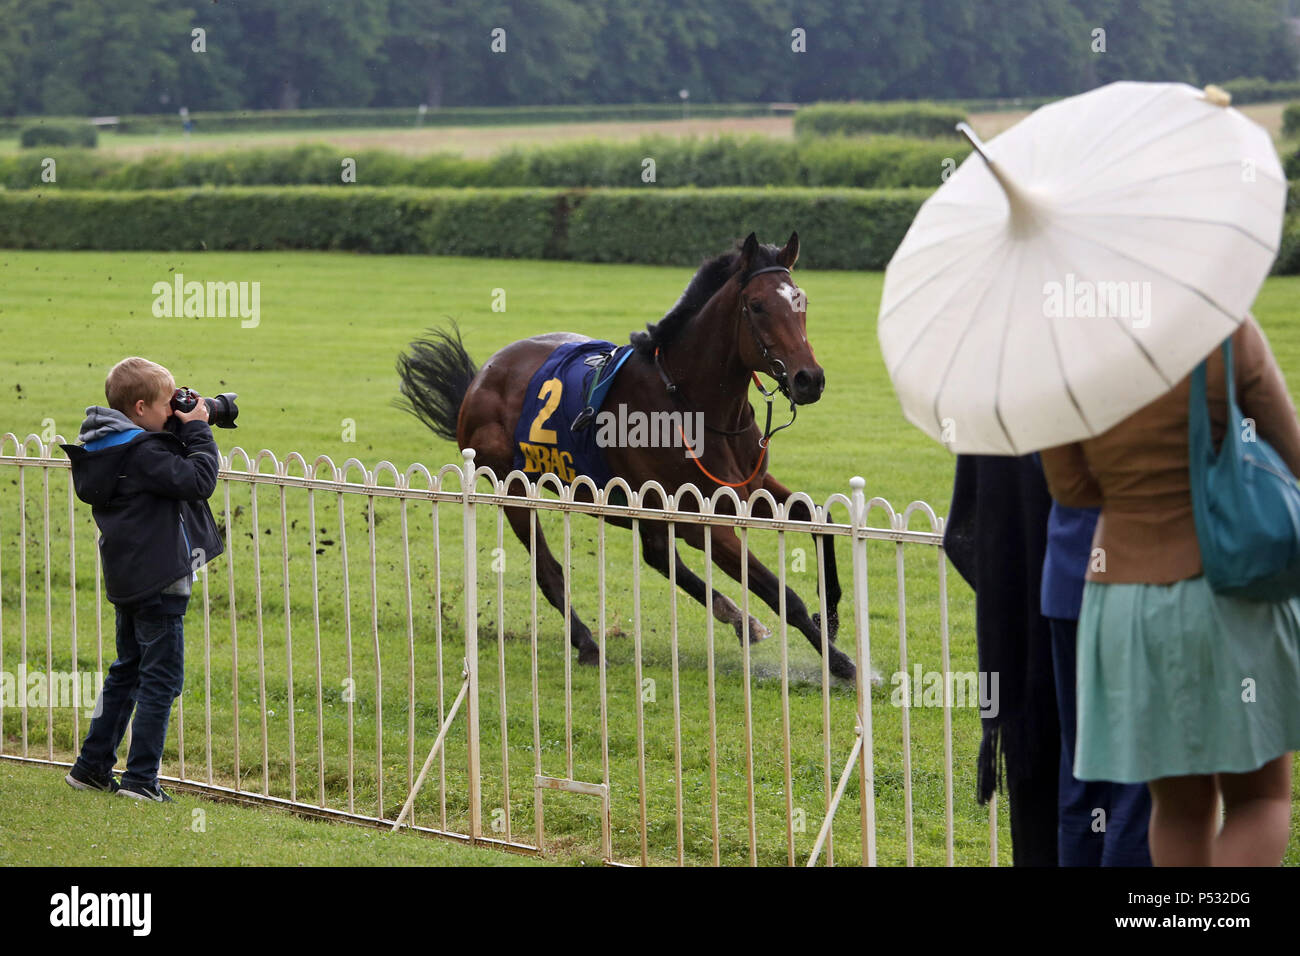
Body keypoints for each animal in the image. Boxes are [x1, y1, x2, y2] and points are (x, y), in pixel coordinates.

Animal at [397, 231, 863, 681]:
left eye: (801, 302)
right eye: (758, 305)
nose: (809, 379)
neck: (693, 402)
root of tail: (479, 380)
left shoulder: (750, 486)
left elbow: (820, 518)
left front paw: (830, 618)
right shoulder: (700, 518)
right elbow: (781, 593)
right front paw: (842, 664)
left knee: (657, 555)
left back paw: (740, 620)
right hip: (514, 491)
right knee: (551, 571)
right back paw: (587, 644)